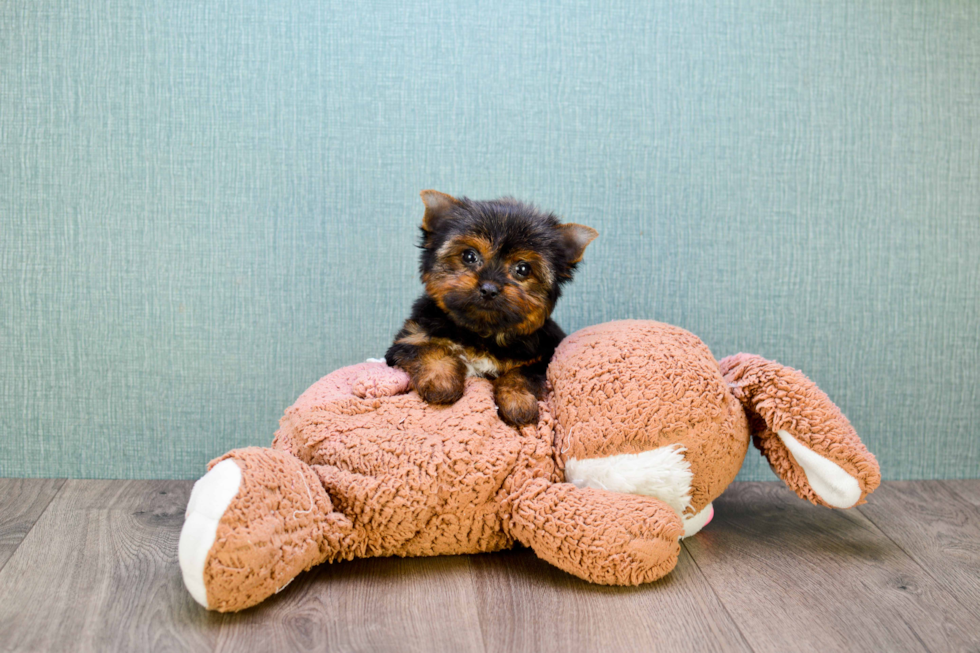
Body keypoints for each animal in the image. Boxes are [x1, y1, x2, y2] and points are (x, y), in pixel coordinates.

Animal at [384, 190, 596, 428]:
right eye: (469, 256)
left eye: (523, 269)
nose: (489, 288)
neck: (482, 333)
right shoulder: (410, 338)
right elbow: (428, 349)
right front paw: (442, 381)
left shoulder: (542, 355)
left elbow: (521, 373)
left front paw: (518, 402)